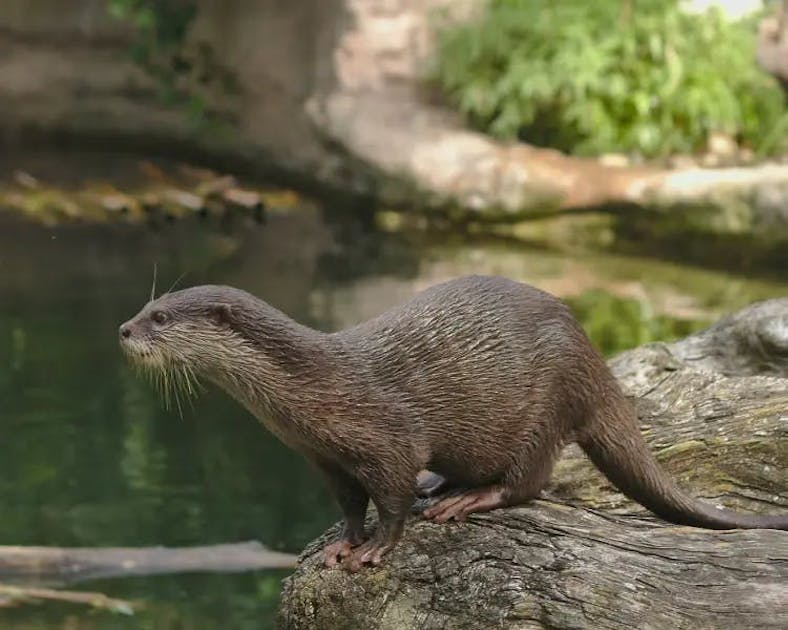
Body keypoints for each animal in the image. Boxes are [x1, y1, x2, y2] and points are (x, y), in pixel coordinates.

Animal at [119, 276, 788, 571]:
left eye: (161, 317)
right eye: (146, 306)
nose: (123, 329)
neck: (315, 391)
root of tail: (592, 358)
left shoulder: (386, 437)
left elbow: (391, 498)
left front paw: (374, 550)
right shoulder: (325, 457)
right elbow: (349, 504)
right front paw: (344, 542)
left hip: (544, 404)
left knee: (530, 480)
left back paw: (466, 499)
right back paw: (444, 486)